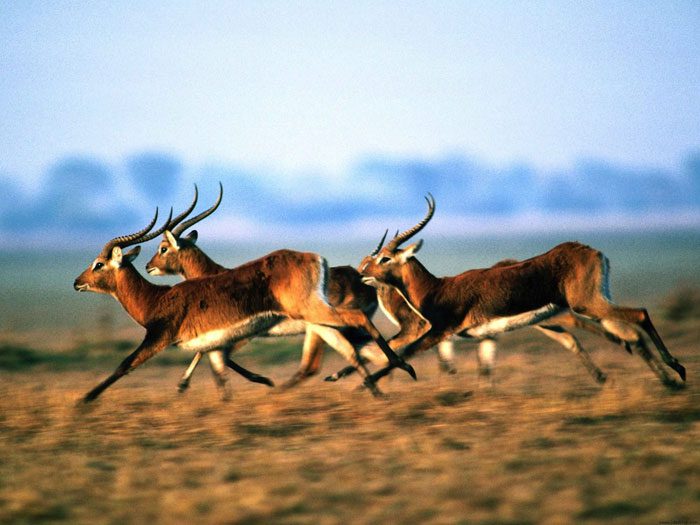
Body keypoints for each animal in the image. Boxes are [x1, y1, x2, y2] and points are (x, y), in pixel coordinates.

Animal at [74, 209, 418, 402]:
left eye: (99, 264)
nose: (77, 282)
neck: (156, 298)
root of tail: (316, 258)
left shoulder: (160, 338)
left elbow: (125, 364)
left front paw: (86, 399)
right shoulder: (214, 345)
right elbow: (221, 377)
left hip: (316, 315)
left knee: (359, 329)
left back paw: (400, 370)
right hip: (317, 323)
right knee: (348, 352)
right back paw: (375, 389)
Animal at [145, 186, 440, 396]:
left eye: (163, 247)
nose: (148, 266)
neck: (214, 275)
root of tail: (361, 277)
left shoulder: (241, 332)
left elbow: (210, 353)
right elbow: (210, 353)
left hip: (322, 324)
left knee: (324, 361)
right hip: (324, 327)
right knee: (360, 350)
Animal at [358, 194, 688, 386]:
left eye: (385, 258)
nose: (361, 274)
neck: (437, 288)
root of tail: (593, 251)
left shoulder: (441, 330)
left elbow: (405, 351)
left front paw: (370, 383)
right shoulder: (482, 336)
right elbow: (483, 371)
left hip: (584, 305)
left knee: (640, 314)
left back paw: (677, 370)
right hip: (591, 305)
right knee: (629, 331)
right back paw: (667, 380)